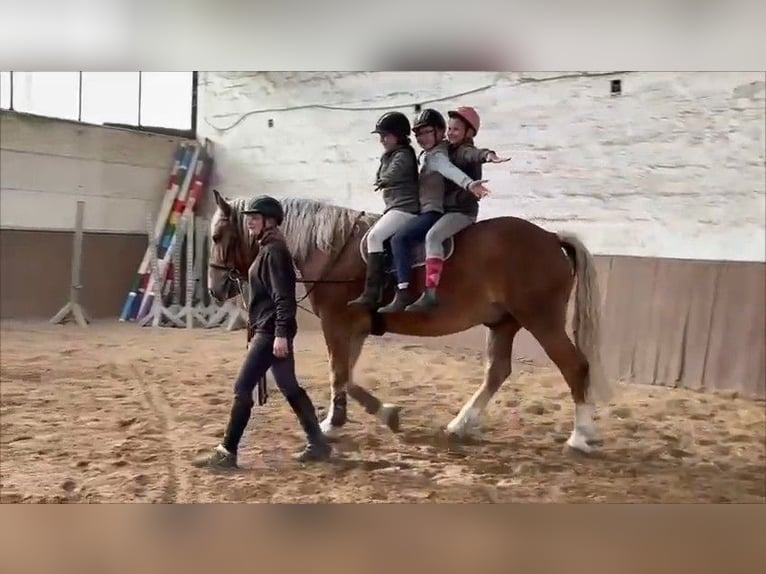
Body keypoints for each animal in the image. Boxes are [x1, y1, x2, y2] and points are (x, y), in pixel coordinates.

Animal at [207, 192, 616, 454]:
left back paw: (580, 436)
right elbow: (345, 375)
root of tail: (550, 236)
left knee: (574, 367)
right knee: (497, 372)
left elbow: (339, 374)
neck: (333, 249)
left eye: (216, 235)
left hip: (541, 320)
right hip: (504, 323)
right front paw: (353, 418)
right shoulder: (354, 328)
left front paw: (350, 421)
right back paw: (460, 424)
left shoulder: (337, 323)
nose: (215, 288)